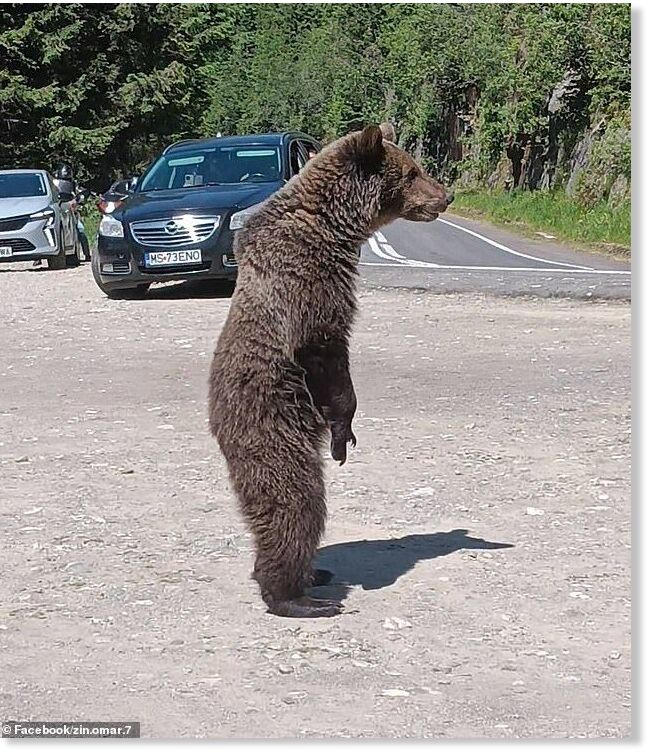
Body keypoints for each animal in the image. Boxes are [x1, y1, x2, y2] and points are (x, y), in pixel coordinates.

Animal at [208, 122, 452, 618]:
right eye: (412, 172)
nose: (446, 196)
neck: (334, 227)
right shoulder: (309, 283)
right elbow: (327, 357)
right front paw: (344, 432)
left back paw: (314, 573)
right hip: (273, 427)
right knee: (294, 502)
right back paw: (298, 597)